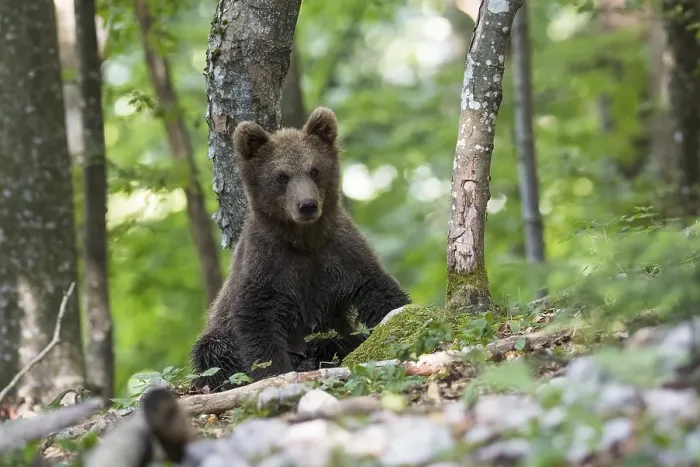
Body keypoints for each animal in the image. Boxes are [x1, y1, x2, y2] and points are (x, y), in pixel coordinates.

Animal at [189, 106, 411, 392]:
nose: (307, 205)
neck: (304, 241)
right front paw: (275, 371)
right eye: (281, 176)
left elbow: (378, 290)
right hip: (218, 333)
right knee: (213, 352)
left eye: (314, 170)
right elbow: (256, 320)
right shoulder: (266, 264)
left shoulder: (341, 253)